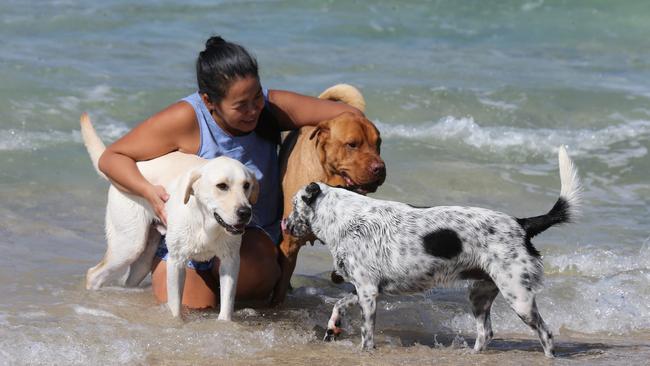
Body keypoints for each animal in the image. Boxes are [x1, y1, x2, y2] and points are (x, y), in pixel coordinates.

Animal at [82, 113, 260, 318]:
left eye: (246, 185)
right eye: (222, 186)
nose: (245, 212)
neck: (205, 222)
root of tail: (135, 163)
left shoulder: (230, 261)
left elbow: (227, 306)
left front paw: (225, 322)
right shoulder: (176, 262)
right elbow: (175, 307)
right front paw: (176, 321)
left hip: (144, 257)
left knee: (129, 279)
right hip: (129, 244)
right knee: (94, 274)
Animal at [280, 147, 580, 358]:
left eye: (294, 204)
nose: (284, 225)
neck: (344, 218)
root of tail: (522, 223)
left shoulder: (368, 291)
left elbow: (367, 333)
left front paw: (364, 350)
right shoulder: (364, 289)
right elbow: (338, 304)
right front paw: (332, 327)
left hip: (518, 297)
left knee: (546, 333)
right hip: (479, 294)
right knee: (486, 333)